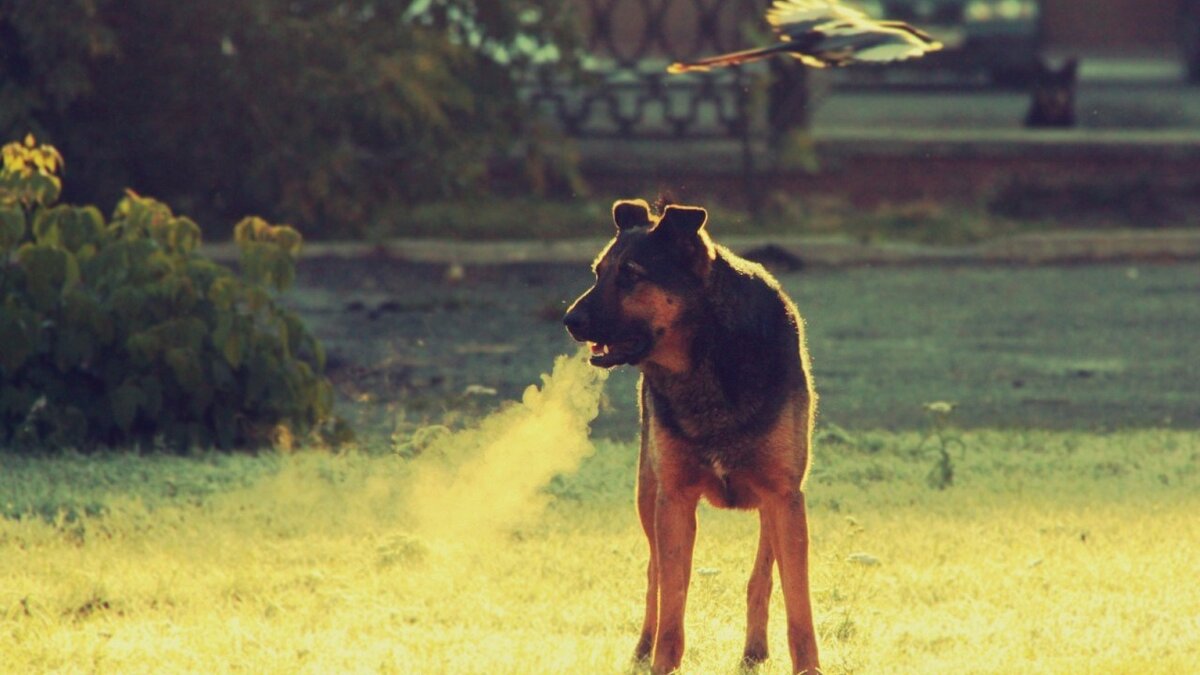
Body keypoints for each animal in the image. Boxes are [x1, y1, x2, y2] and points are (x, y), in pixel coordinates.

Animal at [561, 196, 816, 667]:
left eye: (631, 274)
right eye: (598, 272)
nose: (570, 320)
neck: (707, 358)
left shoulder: (784, 496)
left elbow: (798, 607)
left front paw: (809, 667)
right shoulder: (674, 498)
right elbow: (672, 605)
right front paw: (661, 662)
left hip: (775, 503)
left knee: (762, 575)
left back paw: (754, 650)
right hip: (648, 493)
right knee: (655, 577)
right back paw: (643, 648)